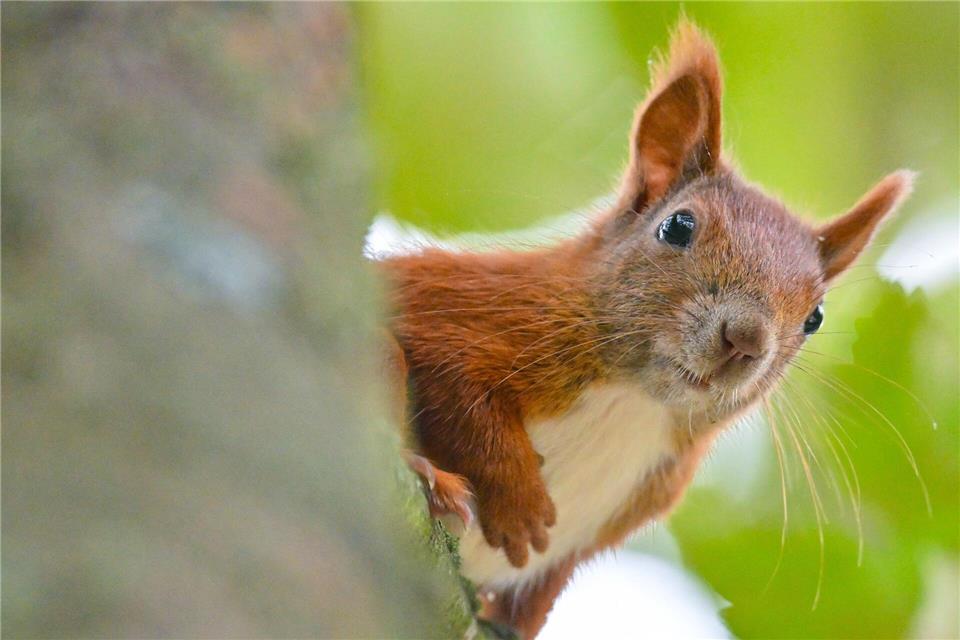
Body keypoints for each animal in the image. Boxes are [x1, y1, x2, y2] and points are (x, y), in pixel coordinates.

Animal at [377, 19, 914, 639]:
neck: (634, 400)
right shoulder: (462, 308)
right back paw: (432, 480)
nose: (746, 339)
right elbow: (460, 389)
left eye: (815, 317)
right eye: (677, 226)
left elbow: (547, 584)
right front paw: (518, 504)